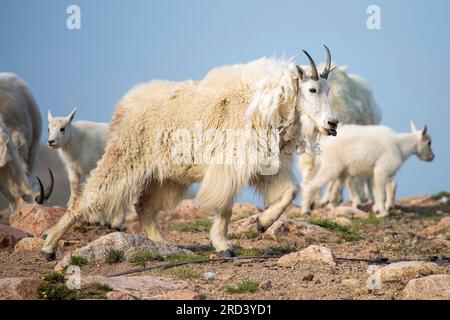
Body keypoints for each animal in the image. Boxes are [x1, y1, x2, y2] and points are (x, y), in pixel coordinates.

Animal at [41, 47, 338, 260]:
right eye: (312, 89)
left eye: (329, 90)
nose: (333, 124)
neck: (270, 102)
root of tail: (123, 106)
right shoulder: (228, 164)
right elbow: (225, 205)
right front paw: (224, 245)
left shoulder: (263, 164)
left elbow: (289, 191)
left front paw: (262, 224)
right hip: (125, 156)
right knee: (87, 197)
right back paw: (49, 247)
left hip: (167, 176)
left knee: (144, 206)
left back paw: (161, 244)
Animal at [300, 122, 434, 218]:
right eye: (429, 143)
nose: (432, 157)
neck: (400, 146)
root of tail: (324, 142)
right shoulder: (381, 170)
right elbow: (381, 192)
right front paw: (383, 213)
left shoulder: (375, 173)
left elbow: (376, 191)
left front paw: (377, 209)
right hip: (331, 165)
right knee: (311, 185)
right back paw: (305, 210)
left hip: (342, 171)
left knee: (335, 189)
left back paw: (333, 208)